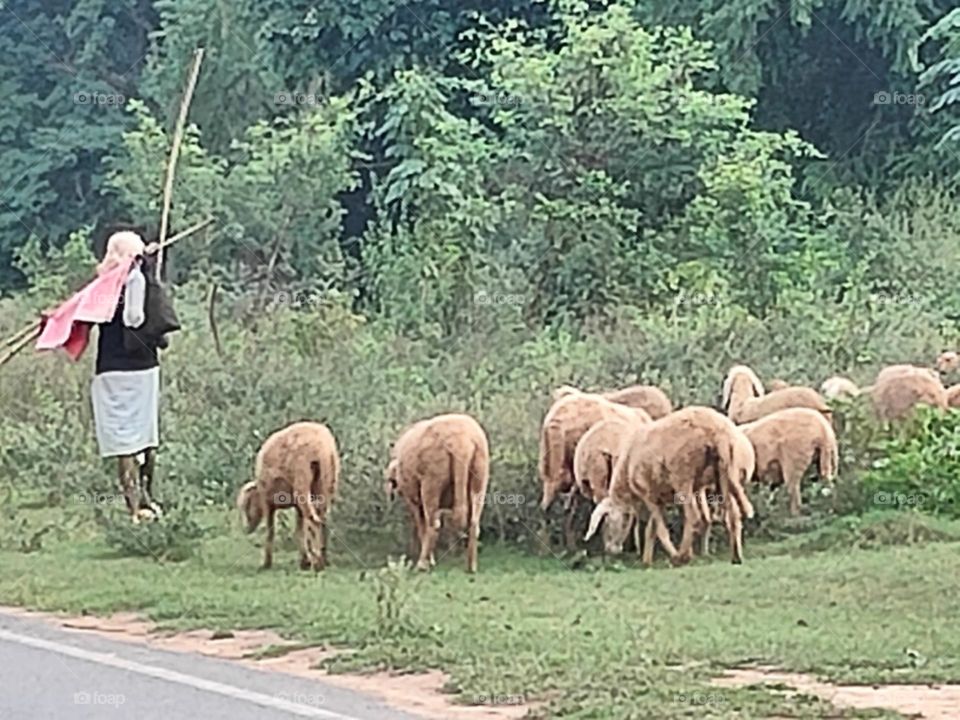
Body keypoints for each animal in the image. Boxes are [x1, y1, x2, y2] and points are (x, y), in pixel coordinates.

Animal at [237, 421, 340, 571]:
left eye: (246, 506)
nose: (246, 529)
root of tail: (318, 448)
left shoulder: (267, 502)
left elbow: (270, 531)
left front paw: (267, 563)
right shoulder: (296, 506)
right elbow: (299, 531)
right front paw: (304, 561)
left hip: (302, 480)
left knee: (313, 520)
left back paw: (317, 563)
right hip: (326, 483)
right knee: (323, 520)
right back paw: (324, 559)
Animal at [385, 413, 489, 573]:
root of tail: (461, 441)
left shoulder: (413, 498)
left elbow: (422, 524)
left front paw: (430, 561)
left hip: (432, 477)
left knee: (433, 524)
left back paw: (422, 565)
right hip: (480, 473)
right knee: (473, 522)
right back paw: (471, 567)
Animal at [584, 407, 755, 566]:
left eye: (608, 522)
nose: (611, 550)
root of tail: (718, 434)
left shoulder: (648, 495)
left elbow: (660, 530)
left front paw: (672, 555)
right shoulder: (662, 497)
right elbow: (651, 529)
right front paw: (647, 560)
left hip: (683, 476)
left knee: (694, 517)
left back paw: (681, 556)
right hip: (725, 474)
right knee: (732, 515)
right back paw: (736, 557)